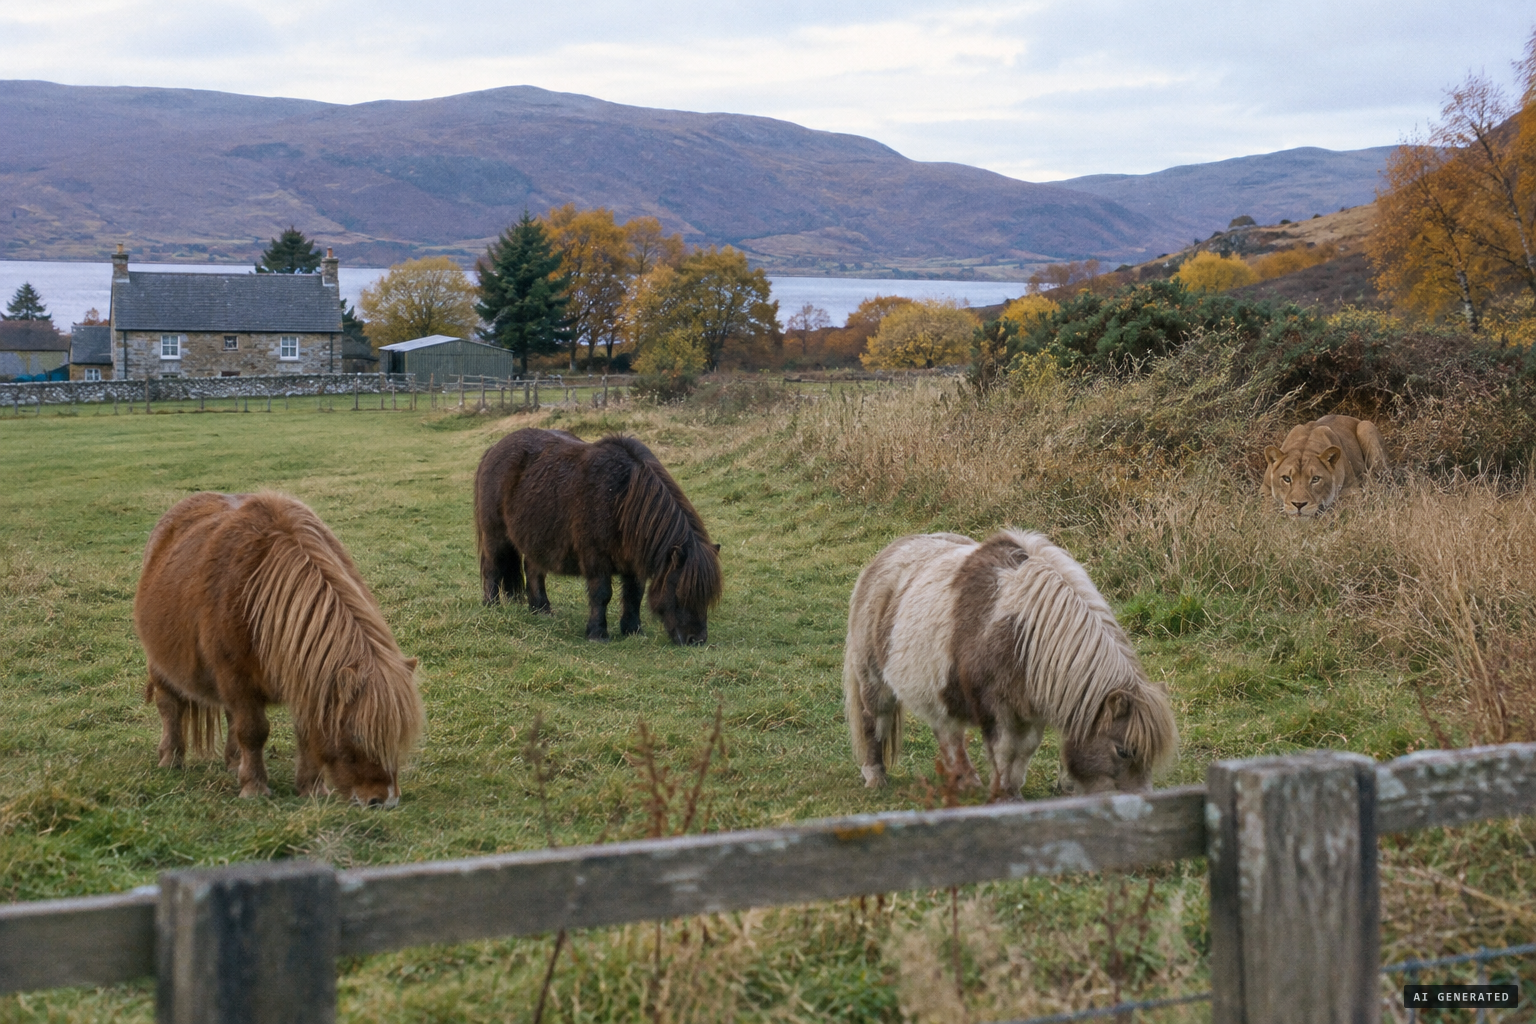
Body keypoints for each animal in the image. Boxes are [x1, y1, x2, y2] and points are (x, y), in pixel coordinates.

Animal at [133, 492, 424, 805]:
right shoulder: (237, 679)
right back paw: (171, 759)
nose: (384, 801)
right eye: (358, 737)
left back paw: (234, 763)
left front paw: (312, 788)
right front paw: (254, 787)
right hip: (162, 667)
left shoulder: (304, 680)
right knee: (170, 706)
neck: (257, 601)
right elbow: (253, 732)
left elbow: (305, 733)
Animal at [475, 428, 723, 644]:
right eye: (680, 592)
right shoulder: (595, 558)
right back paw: (492, 605)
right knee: (492, 567)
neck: (621, 497)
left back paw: (541, 610)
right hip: (496, 536)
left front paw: (633, 630)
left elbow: (634, 594)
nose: (696, 640)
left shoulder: (633, 563)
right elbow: (602, 594)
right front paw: (597, 634)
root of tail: (494, 449)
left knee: (534, 571)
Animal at [843, 530, 1177, 798]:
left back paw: (966, 780)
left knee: (947, 732)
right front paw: (1003, 795)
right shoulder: (997, 710)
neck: (1023, 635)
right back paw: (875, 777)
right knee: (874, 720)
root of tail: (886, 555)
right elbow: (1004, 751)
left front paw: (1012, 791)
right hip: (874, 681)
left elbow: (1023, 751)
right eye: (1123, 751)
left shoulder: (1030, 709)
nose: (1142, 803)